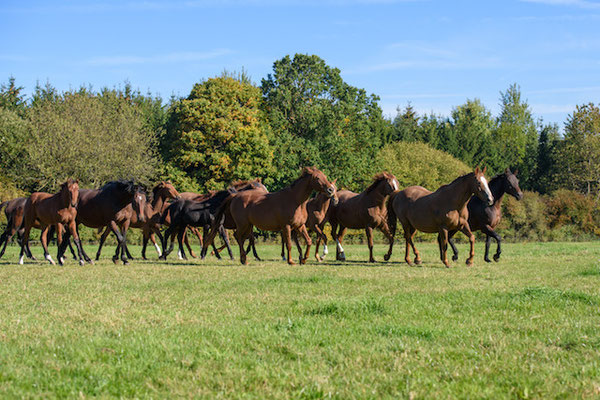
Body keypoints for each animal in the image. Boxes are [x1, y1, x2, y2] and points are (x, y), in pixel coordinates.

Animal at [206, 167, 338, 264]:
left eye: (325, 176)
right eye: (317, 178)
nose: (330, 190)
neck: (296, 201)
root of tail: (235, 196)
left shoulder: (300, 226)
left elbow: (309, 241)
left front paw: (304, 259)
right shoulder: (286, 226)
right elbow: (289, 244)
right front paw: (291, 261)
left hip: (248, 225)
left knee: (241, 238)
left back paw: (243, 259)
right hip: (242, 224)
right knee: (238, 236)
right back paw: (244, 259)